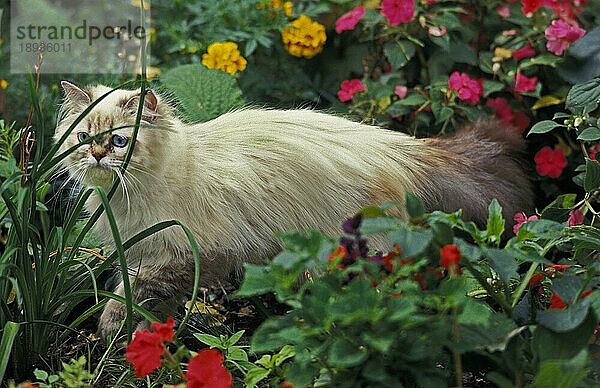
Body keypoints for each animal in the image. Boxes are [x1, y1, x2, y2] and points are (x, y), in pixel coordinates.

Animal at [55, 81, 536, 336]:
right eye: (84, 137)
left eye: (119, 141)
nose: (96, 155)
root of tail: (399, 148)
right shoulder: (147, 252)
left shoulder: (192, 252)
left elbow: (133, 292)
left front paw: (112, 330)